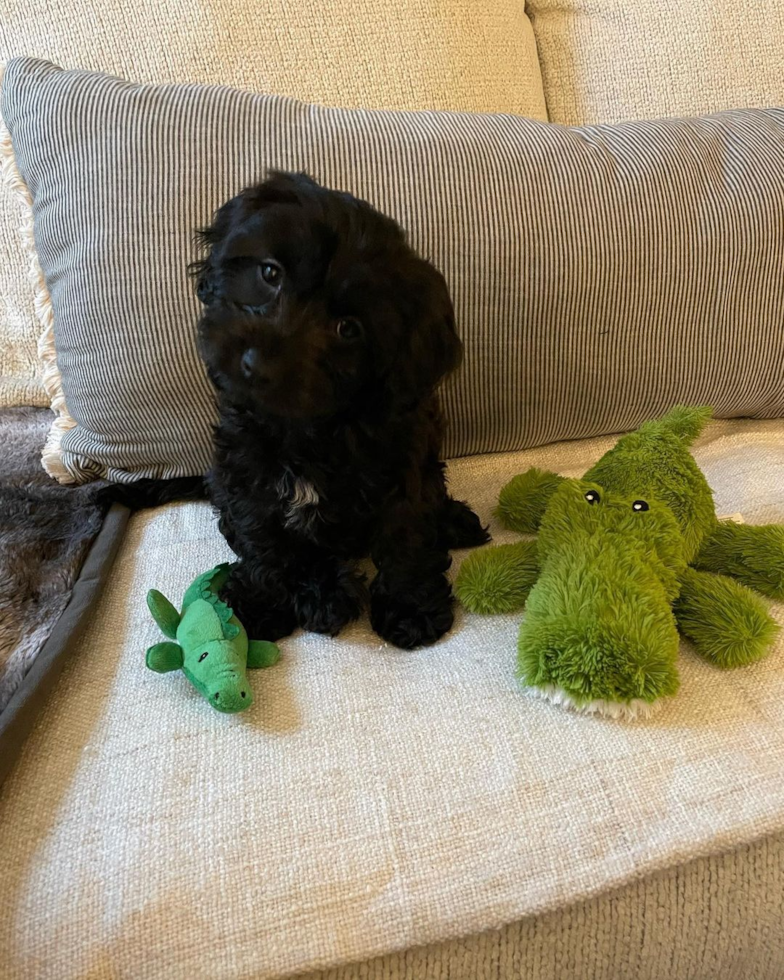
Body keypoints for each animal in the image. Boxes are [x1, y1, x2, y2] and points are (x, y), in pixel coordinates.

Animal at [193, 174, 486, 652]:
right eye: (270, 273)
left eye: (348, 329)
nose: (256, 364)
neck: (312, 426)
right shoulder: (245, 471)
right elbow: (263, 538)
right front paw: (265, 601)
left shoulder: (403, 465)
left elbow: (406, 533)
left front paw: (410, 608)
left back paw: (453, 521)